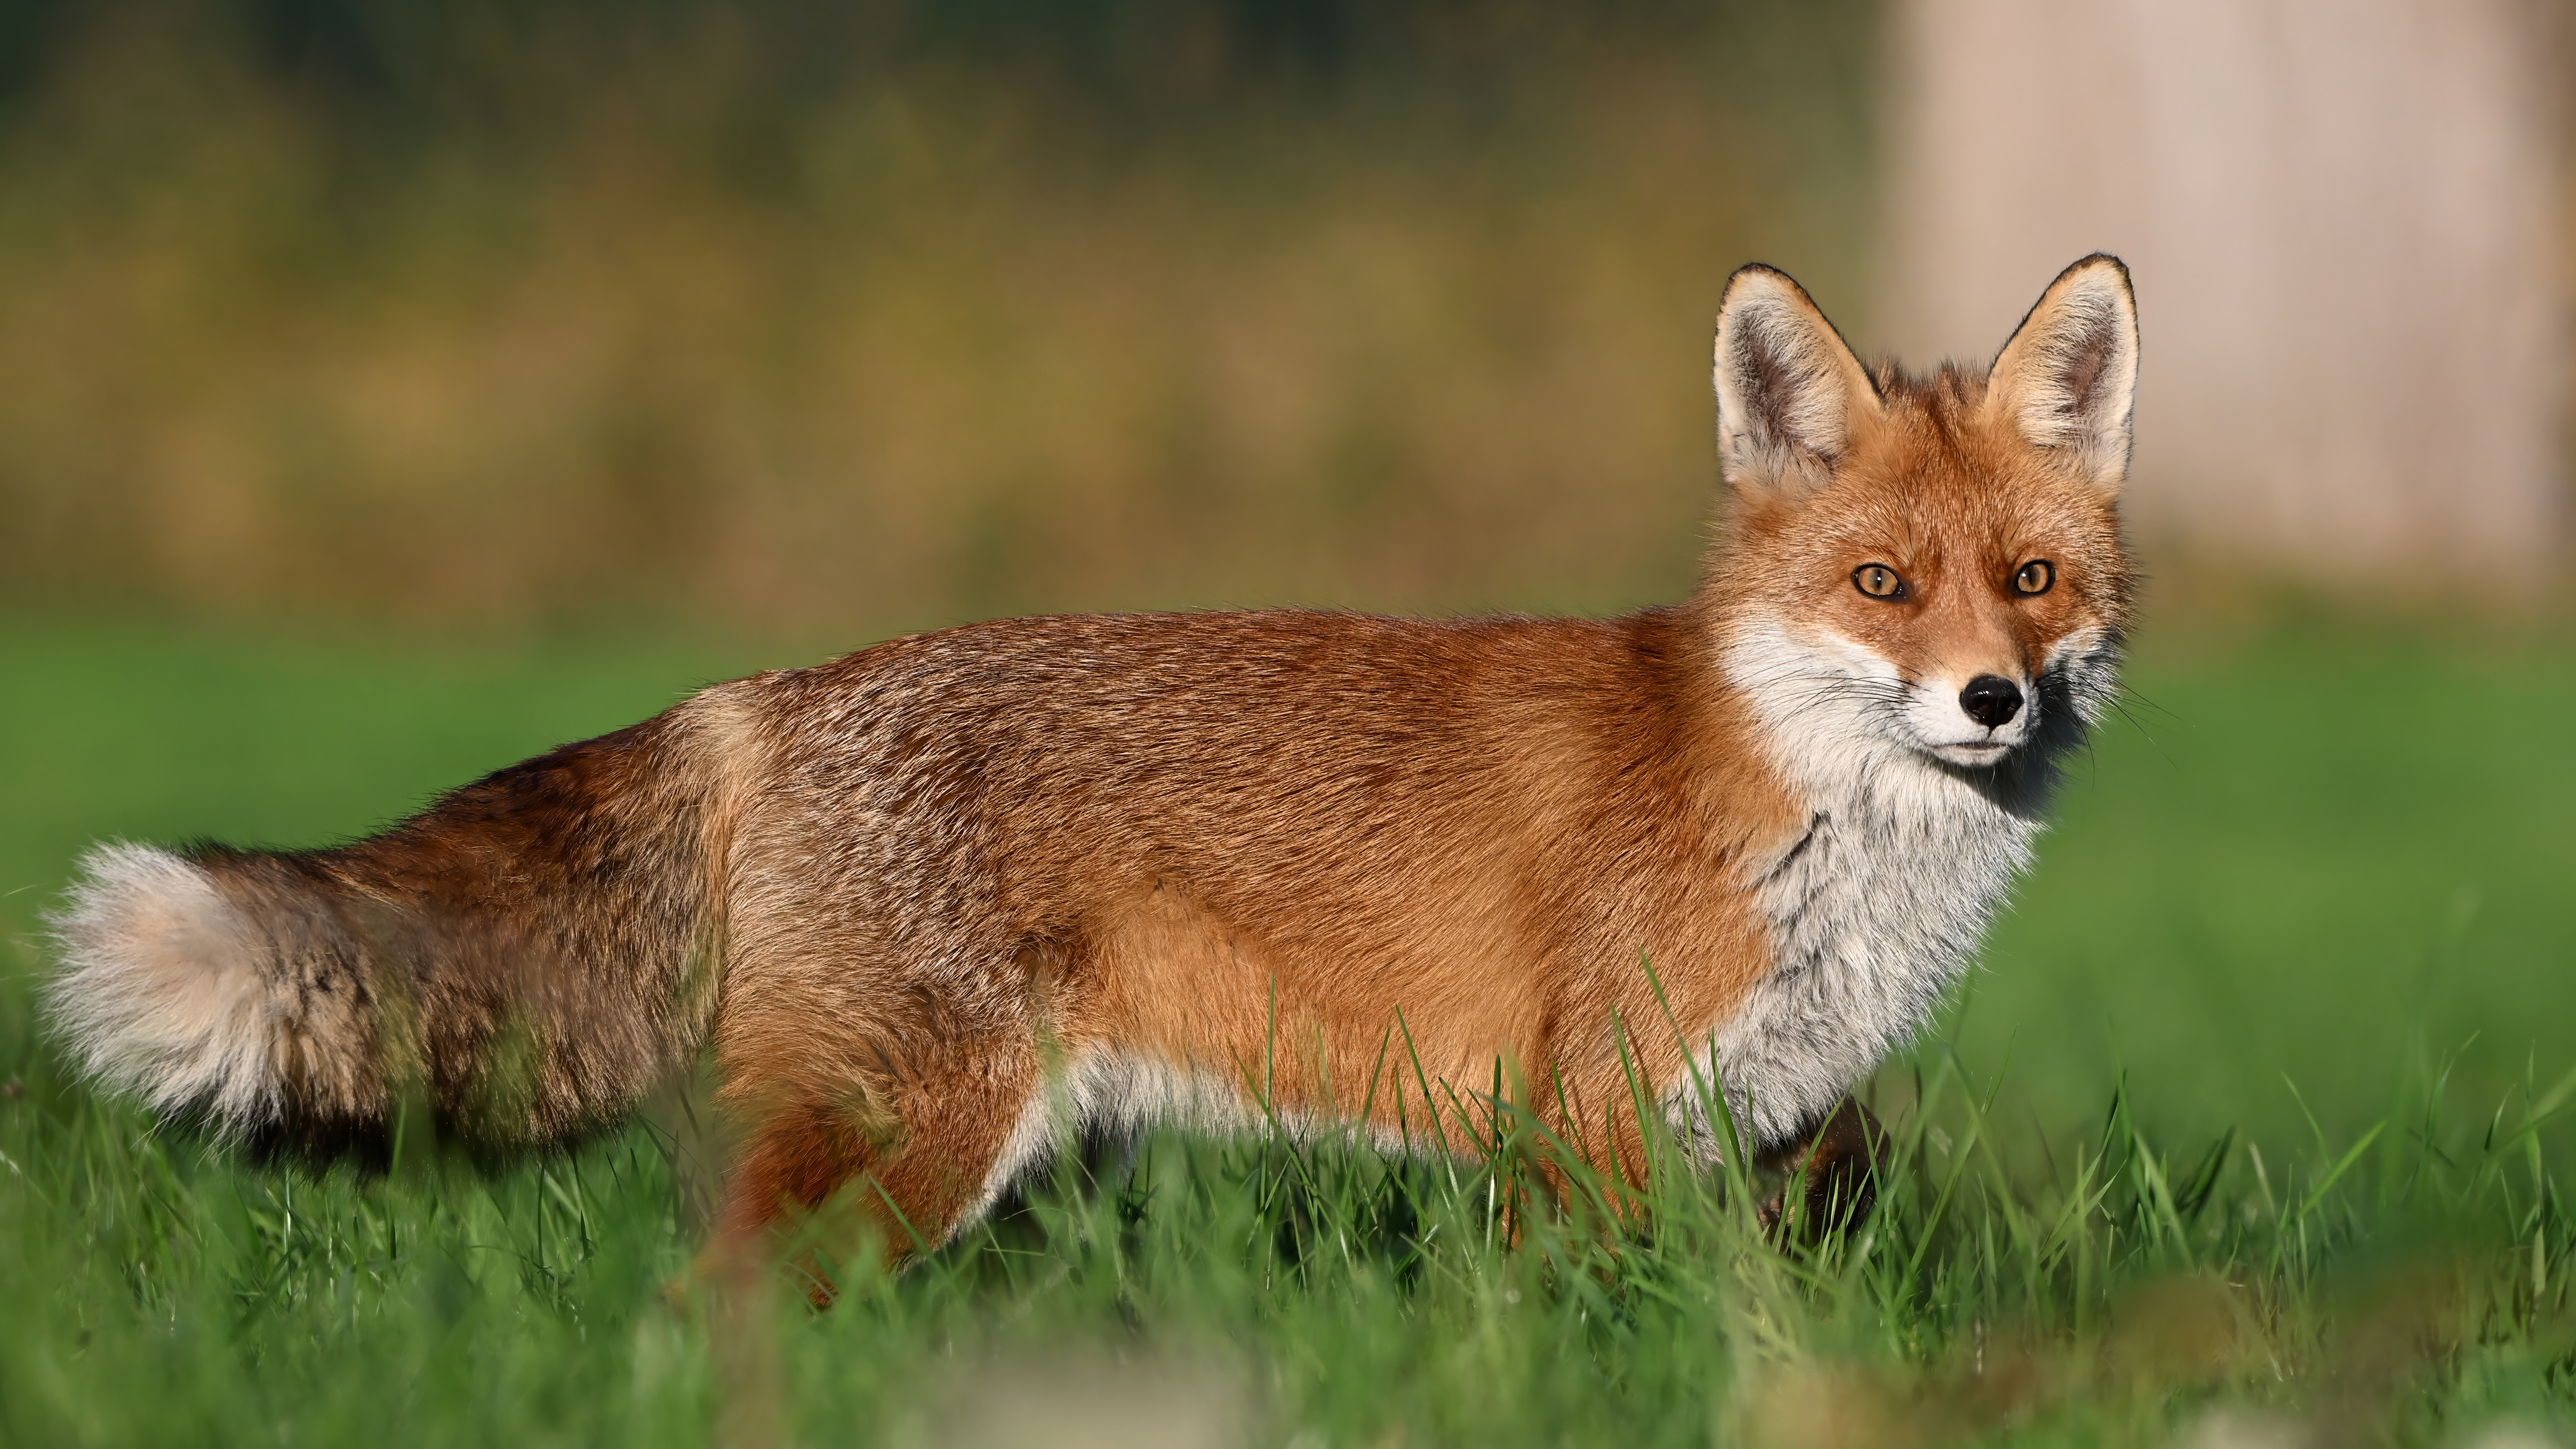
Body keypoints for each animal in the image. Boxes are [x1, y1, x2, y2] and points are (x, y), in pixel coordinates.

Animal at [47, 255, 2137, 1277]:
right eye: (1881, 586)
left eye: (2030, 583)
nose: (1991, 704)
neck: (1799, 816)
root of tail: (768, 692)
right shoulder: (1591, 1125)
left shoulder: (1745, 1136)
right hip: (911, 1136)